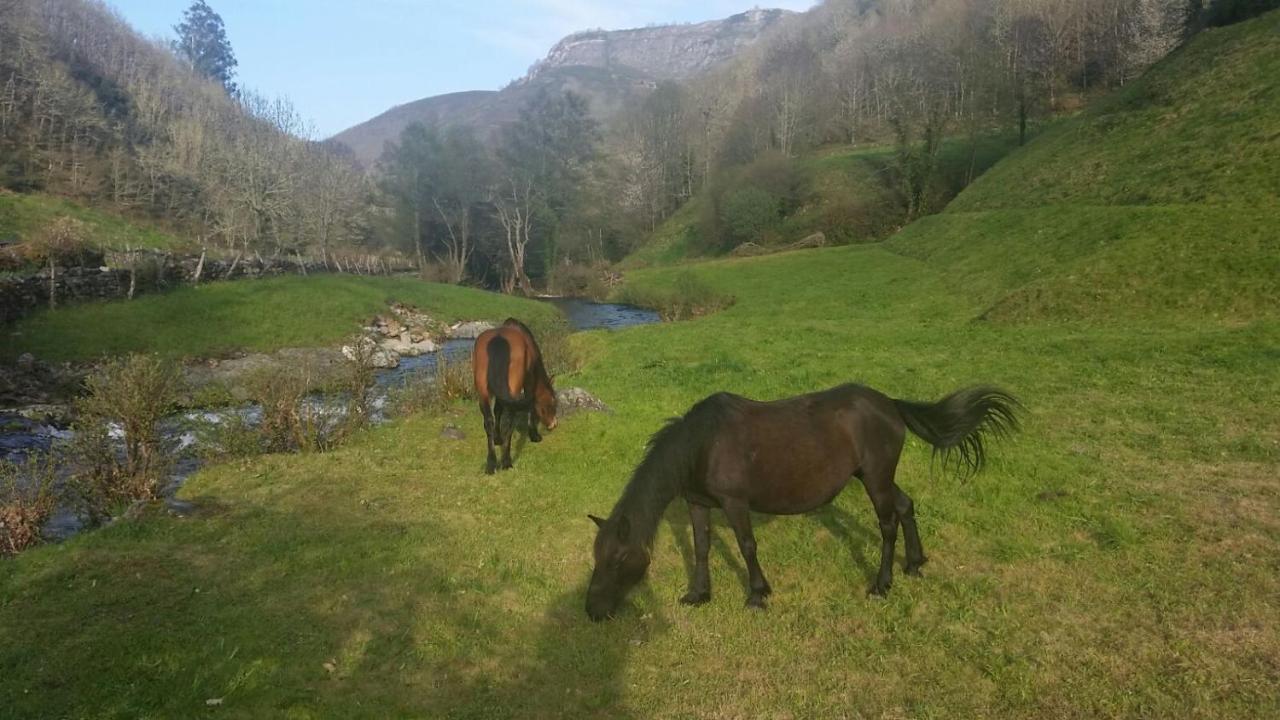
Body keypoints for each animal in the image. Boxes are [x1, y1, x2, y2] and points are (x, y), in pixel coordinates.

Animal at [473, 316, 558, 474]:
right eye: (552, 402)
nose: (553, 424)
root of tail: (498, 341)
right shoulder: (529, 381)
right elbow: (530, 407)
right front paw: (534, 434)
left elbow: (497, 411)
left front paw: (497, 438)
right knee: (510, 420)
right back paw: (506, 461)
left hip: (483, 392)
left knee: (489, 420)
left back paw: (491, 464)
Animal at [583, 384, 1018, 620]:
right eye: (596, 558)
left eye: (617, 560)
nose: (593, 612)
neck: (703, 443)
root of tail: (890, 405)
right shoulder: (698, 502)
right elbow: (702, 547)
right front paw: (698, 595)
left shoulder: (735, 502)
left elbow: (746, 546)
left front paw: (757, 594)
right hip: (875, 477)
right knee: (906, 506)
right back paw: (913, 563)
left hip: (876, 480)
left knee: (887, 523)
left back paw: (881, 584)